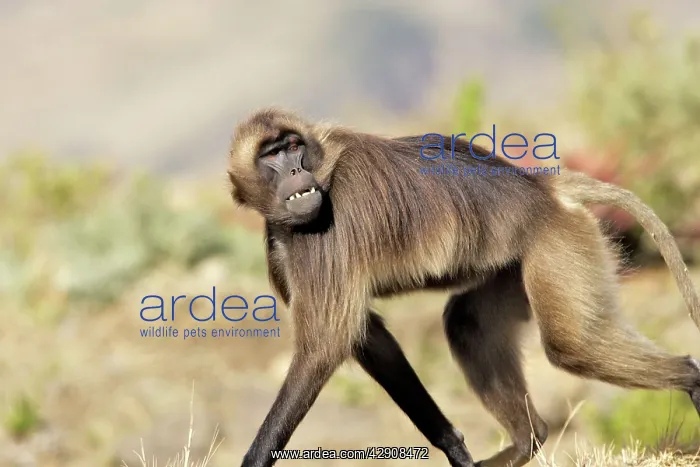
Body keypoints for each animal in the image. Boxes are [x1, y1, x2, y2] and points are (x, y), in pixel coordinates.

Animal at [227, 108, 700, 467]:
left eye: (293, 147)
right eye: (272, 154)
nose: (295, 169)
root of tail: (543, 187)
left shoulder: (329, 228)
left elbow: (327, 344)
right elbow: (370, 337)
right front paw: (453, 446)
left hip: (557, 241)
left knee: (573, 346)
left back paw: (691, 378)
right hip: (516, 264)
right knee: (467, 325)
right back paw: (526, 440)